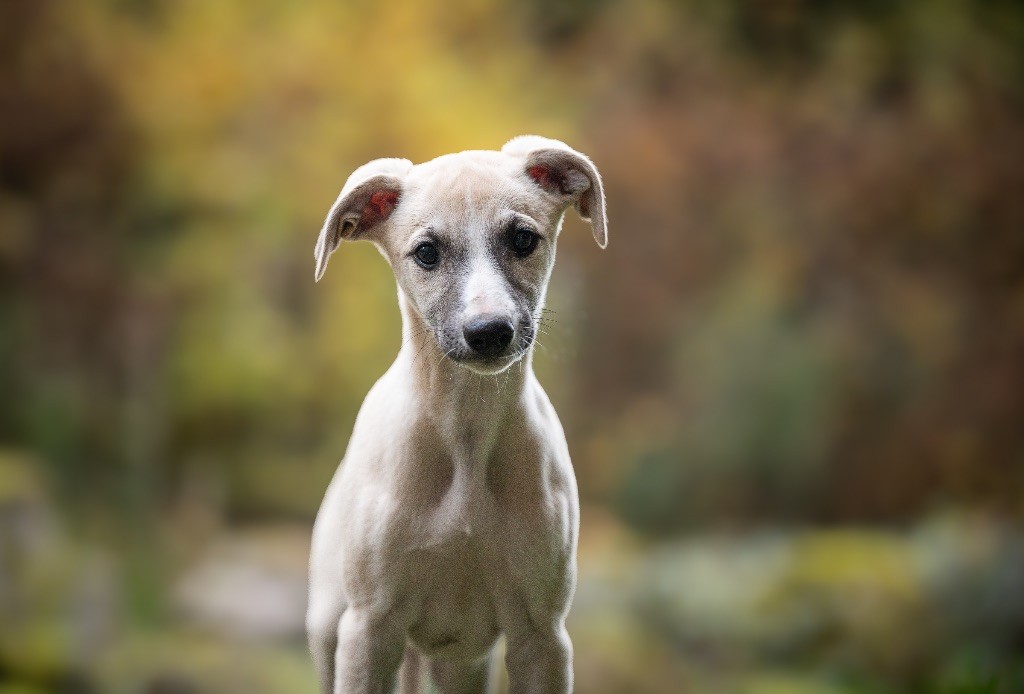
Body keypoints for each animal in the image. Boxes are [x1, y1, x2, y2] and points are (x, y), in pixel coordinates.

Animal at [307, 136, 602, 694]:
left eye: (523, 239)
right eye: (427, 252)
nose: (489, 332)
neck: (466, 429)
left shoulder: (542, 636)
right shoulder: (368, 629)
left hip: (461, 662)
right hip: (331, 628)